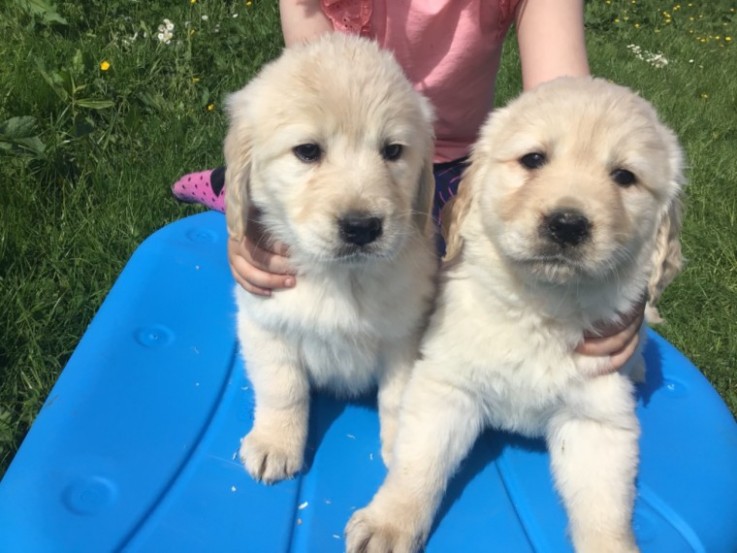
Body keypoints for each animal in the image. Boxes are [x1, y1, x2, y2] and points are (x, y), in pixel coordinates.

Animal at [224, 34, 436, 484]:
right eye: (307, 151)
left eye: (393, 151)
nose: (361, 227)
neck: (341, 278)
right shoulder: (265, 324)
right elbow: (283, 389)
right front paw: (275, 443)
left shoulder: (406, 336)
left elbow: (397, 396)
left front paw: (401, 446)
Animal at [344, 76, 684, 552]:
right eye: (533, 159)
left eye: (624, 177)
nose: (567, 224)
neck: (541, 306)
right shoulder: (446, 386)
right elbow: (418, 466)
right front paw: (388, 522)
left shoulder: (596, 423)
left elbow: (604, 514)